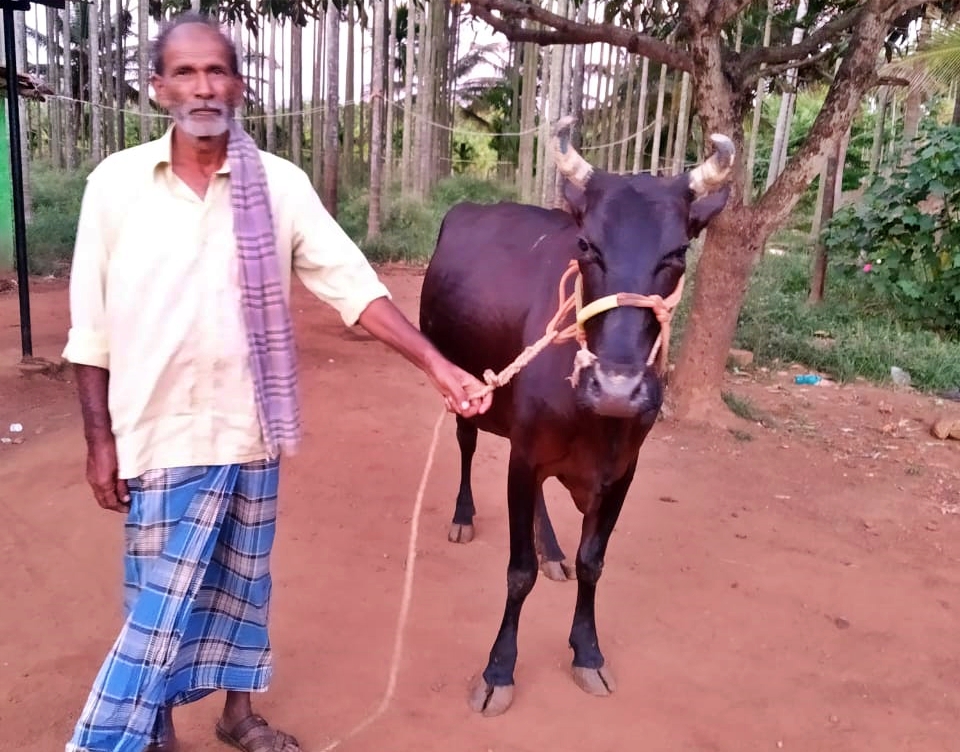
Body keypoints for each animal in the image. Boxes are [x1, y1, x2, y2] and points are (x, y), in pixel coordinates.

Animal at [420, 114, 736, 712]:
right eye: (587, 245)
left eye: (678, 253)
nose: (616, 387)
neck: (596, 423)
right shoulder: (523, 456)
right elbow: (518, 573)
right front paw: (499, 669)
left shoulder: (621, 472)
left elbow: (594, 561)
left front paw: (587, 652)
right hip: (464, 390)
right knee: (467, 445)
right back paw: (465, 517)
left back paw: (552, 549)